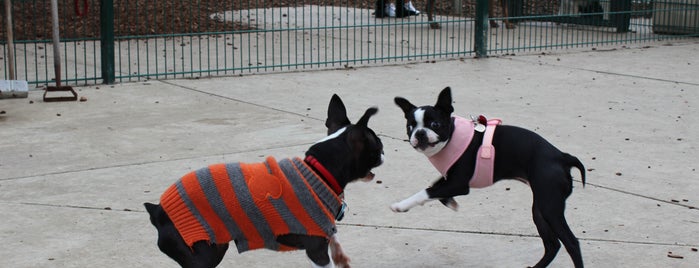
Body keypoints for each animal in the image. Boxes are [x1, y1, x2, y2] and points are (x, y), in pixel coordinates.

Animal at [142, 94, 382, 268]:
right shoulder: (316, 250)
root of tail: (158, 210)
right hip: (203, 254)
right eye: (377, 144)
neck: (318, 172)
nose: (384, 150)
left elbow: (334, 237)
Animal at [394, 87, 584, 266]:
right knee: (553, 245)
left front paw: (401, 205)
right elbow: (434, 187)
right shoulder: (450, 180)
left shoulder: (459, 184)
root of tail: (562, 157)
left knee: (571, 243)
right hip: (540, 209)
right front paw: (449, 201)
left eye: (435, 124)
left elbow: (426, 191)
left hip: (550, 207)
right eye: (410, 127)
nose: (419, 133)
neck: (452, 137)